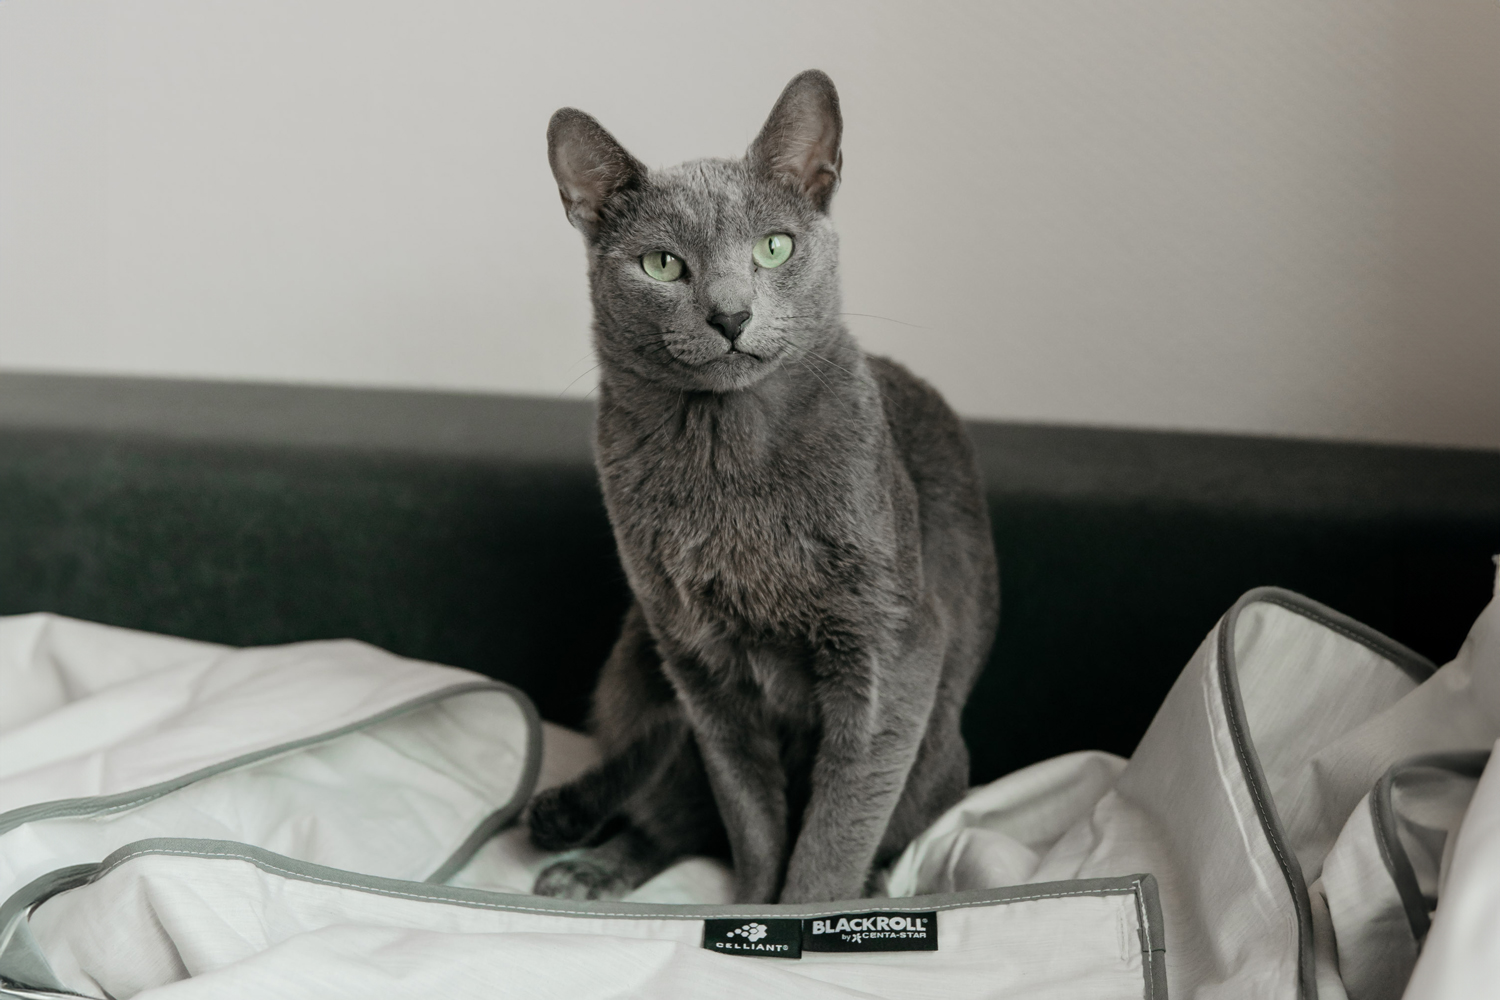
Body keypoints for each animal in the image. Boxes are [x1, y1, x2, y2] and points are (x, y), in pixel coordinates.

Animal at [528, 70, 996, 905]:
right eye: (662, 265)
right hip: (635, 657)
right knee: (669, 809)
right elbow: (750, 822)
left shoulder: (891, 653)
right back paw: (582, 859)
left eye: (773, 248)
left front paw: (807, 912)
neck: (729, 458)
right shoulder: (701, 666)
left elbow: (834, 835)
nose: (730, 313)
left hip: (936, 752)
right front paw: (752, 907)